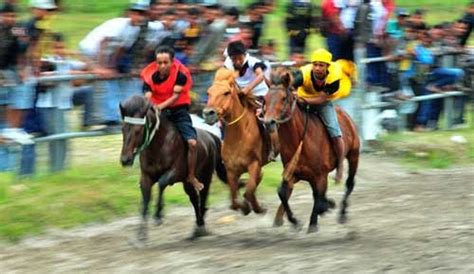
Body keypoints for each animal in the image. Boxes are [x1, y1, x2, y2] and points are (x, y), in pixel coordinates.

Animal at [120, 95, 228, 243]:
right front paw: (140, 236)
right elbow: (145, 201)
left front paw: (158, 215)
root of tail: (212, 137)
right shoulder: (146, 177)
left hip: (205, 176)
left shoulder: (175, 173)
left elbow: (161, 183)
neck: (159, 144)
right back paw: (197, 228)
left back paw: (200, 227)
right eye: (122, 129)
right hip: (188, 183)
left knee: (203, 198)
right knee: (194, 199)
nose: (125, 159)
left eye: (138, 130)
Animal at [262, 71, 360, 232]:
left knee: (349, 183)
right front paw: (295, 221)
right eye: (265, 98)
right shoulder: (293, 173)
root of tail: (347, 117)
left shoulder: (320, 175)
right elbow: (282, 192)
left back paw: (342, 214)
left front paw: (315, 221)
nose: (268, 122)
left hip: (353, 155)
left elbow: (319, 199)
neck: (300, 140)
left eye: (283, 98)